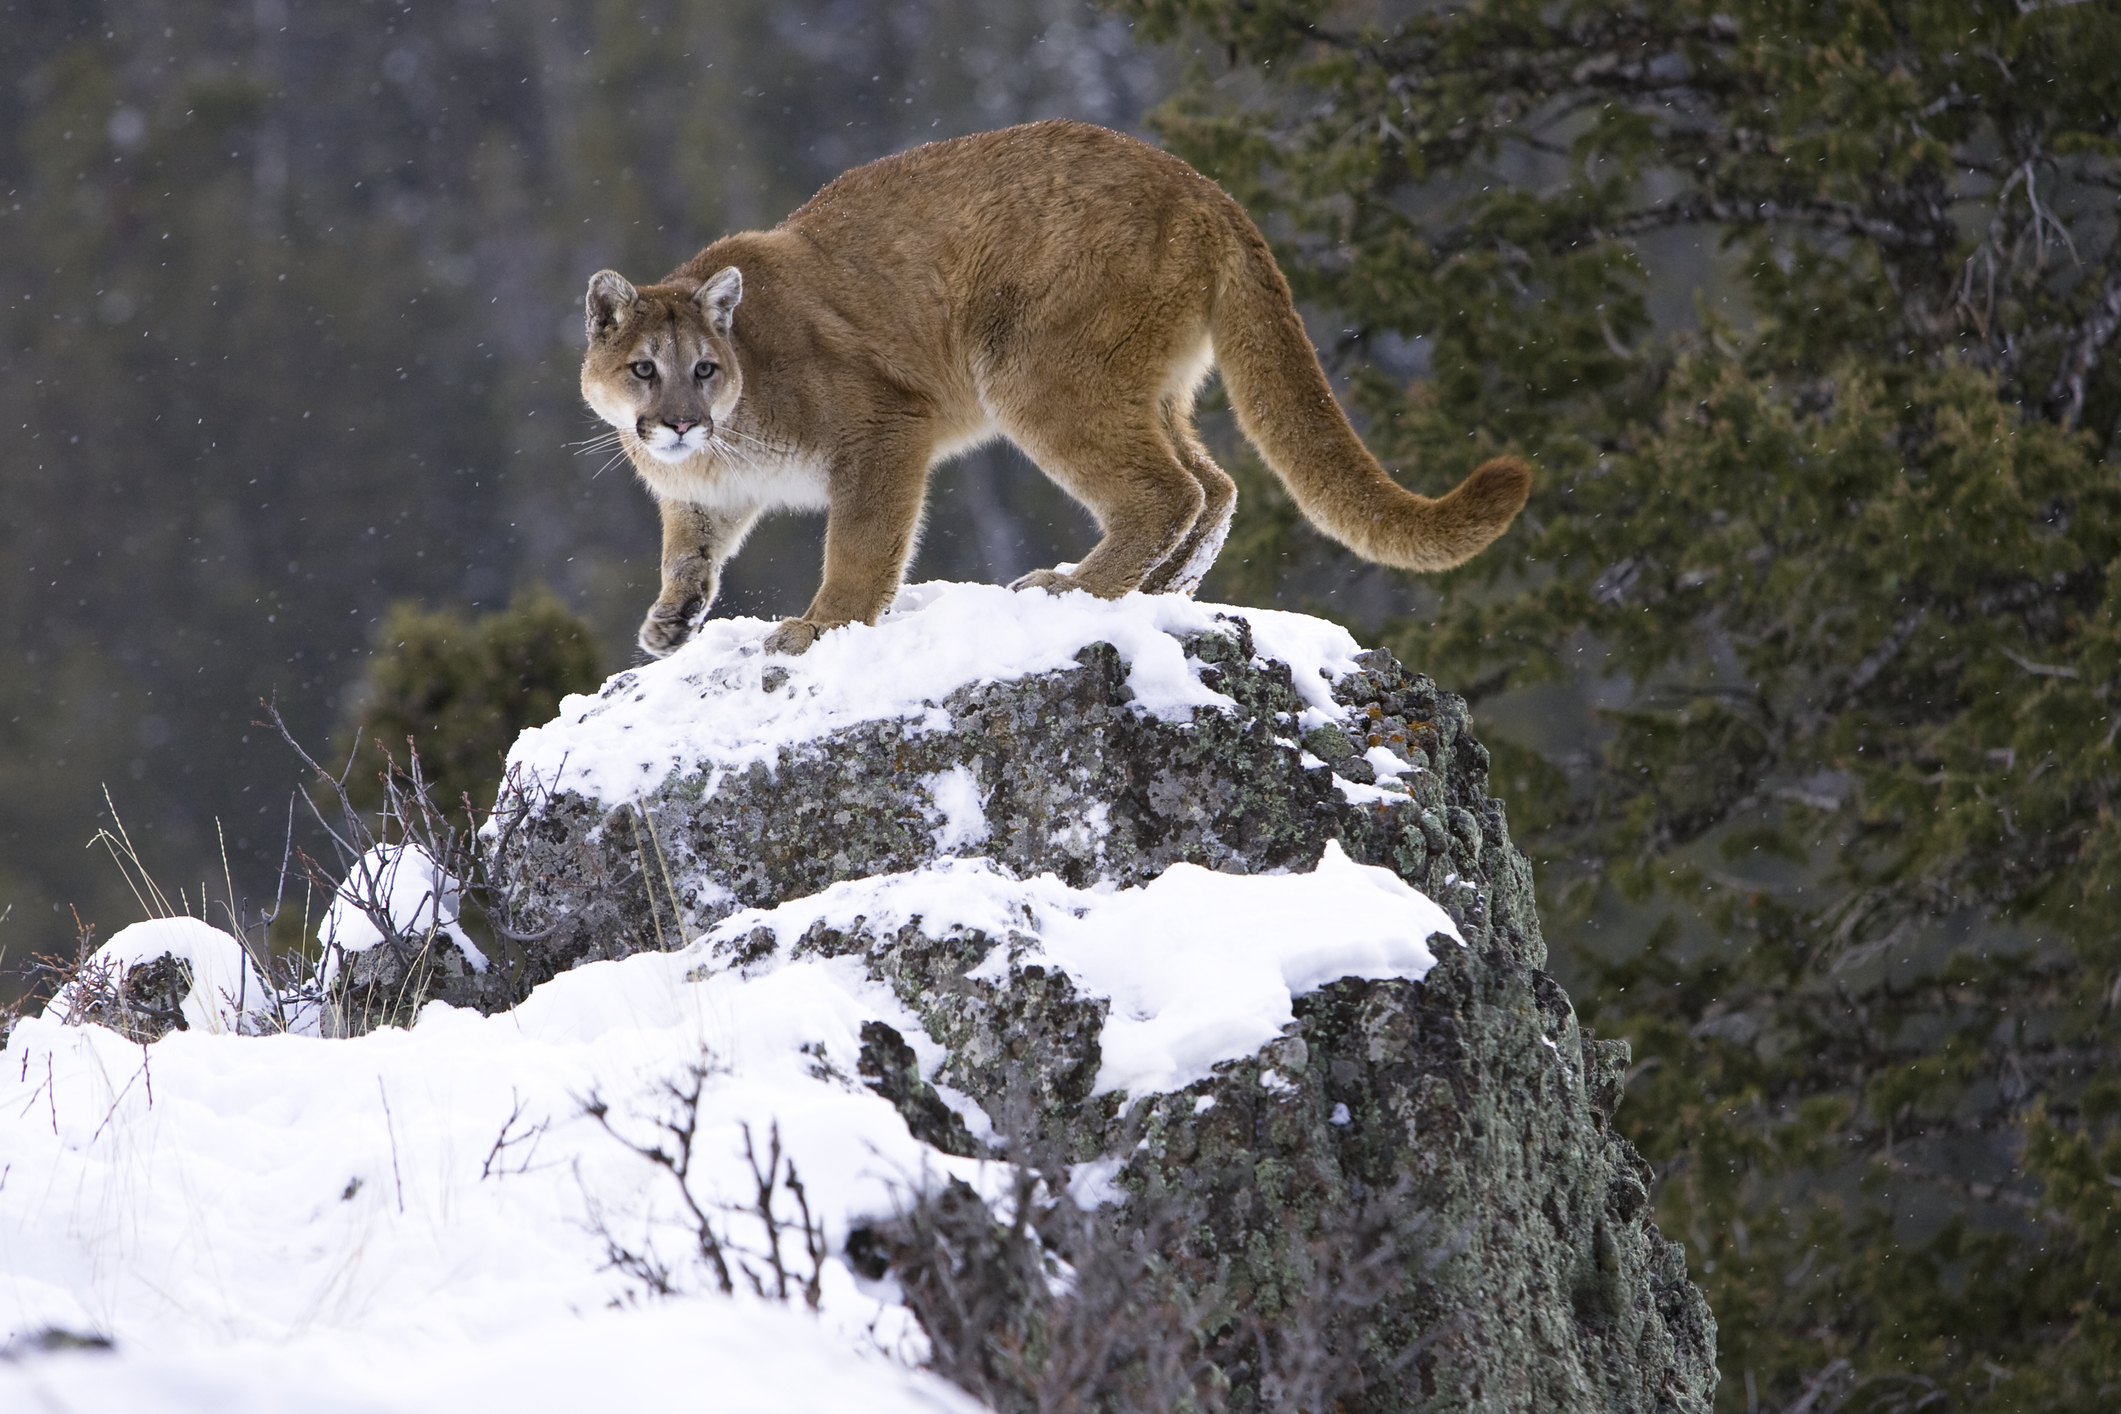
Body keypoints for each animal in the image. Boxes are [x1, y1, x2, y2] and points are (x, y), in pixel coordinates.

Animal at [589, 118, 1535, 661]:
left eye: (704, 368)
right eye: (644, 368)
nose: (675, 425)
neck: (727, 435)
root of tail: (1198, 183)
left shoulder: (883, 430)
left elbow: (859, 546)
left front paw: (819, 628)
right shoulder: (700, 496)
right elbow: (688, 551)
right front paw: (672, 620)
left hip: (1036, 371)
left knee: (1167, 490)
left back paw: (1073, 588)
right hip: (1142, 381)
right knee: (1213, 485)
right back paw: (1151, 591)